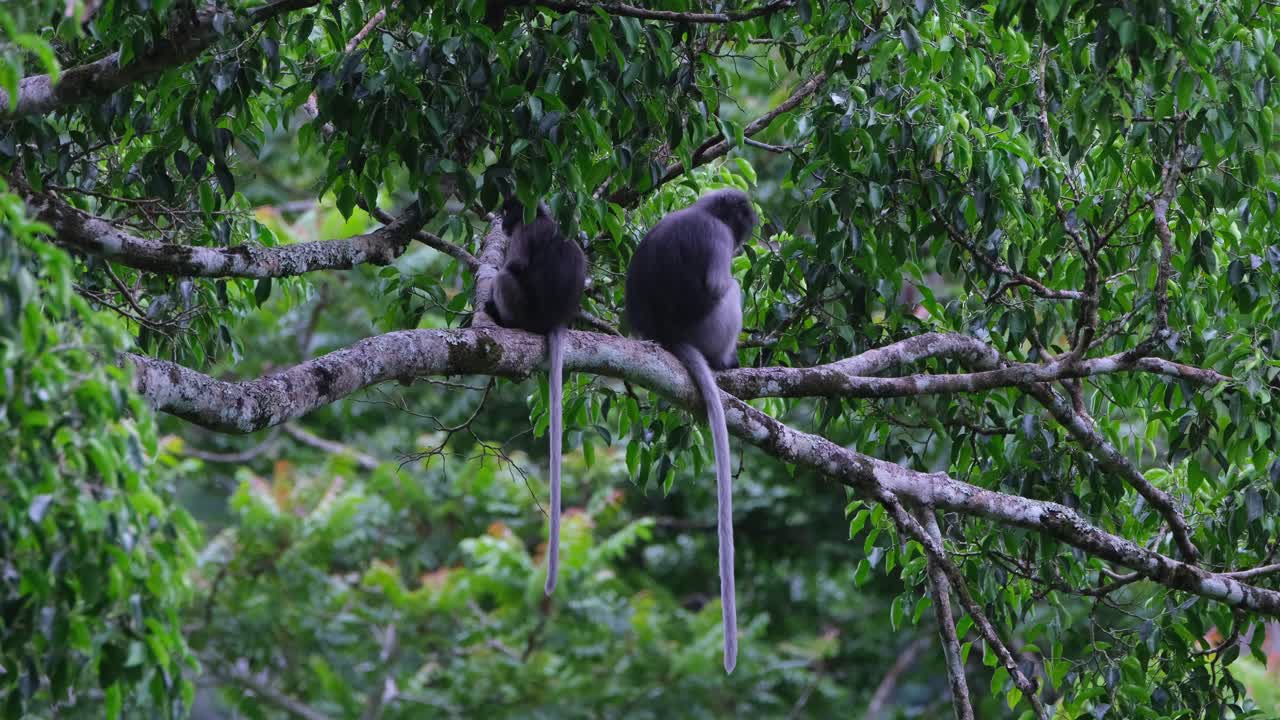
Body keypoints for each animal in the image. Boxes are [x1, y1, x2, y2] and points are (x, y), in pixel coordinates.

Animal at [484, 199, 587, 596]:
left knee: (506, 277)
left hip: (525, 312)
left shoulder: (527, 231)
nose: (501, 221)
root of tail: (553, 321)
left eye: (509, 211)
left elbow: (516, 267)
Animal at [623, 188, 757, 673]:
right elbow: (720, 286)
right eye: (741, 225)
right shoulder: (714, 236)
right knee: (730, 291)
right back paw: (724, 361)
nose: (743, 241)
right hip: (709, 329)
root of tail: (669, 337)